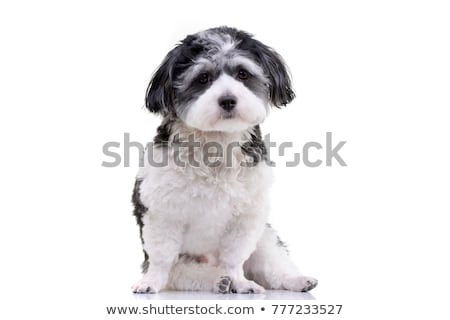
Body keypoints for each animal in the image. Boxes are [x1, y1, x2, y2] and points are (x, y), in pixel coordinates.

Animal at [132, 26, 318, 294]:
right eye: (202, 78)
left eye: (243, 74)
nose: (228, 100)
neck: (217, 145)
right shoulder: (162, 213)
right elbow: (162, 258)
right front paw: (151, 282)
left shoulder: (246, 219)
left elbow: (234, 259)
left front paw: (240, 282)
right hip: (185, 262)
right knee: (184, 273)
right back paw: (217, 280)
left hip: (265, 239)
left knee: (270, 266)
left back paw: (292, 280)